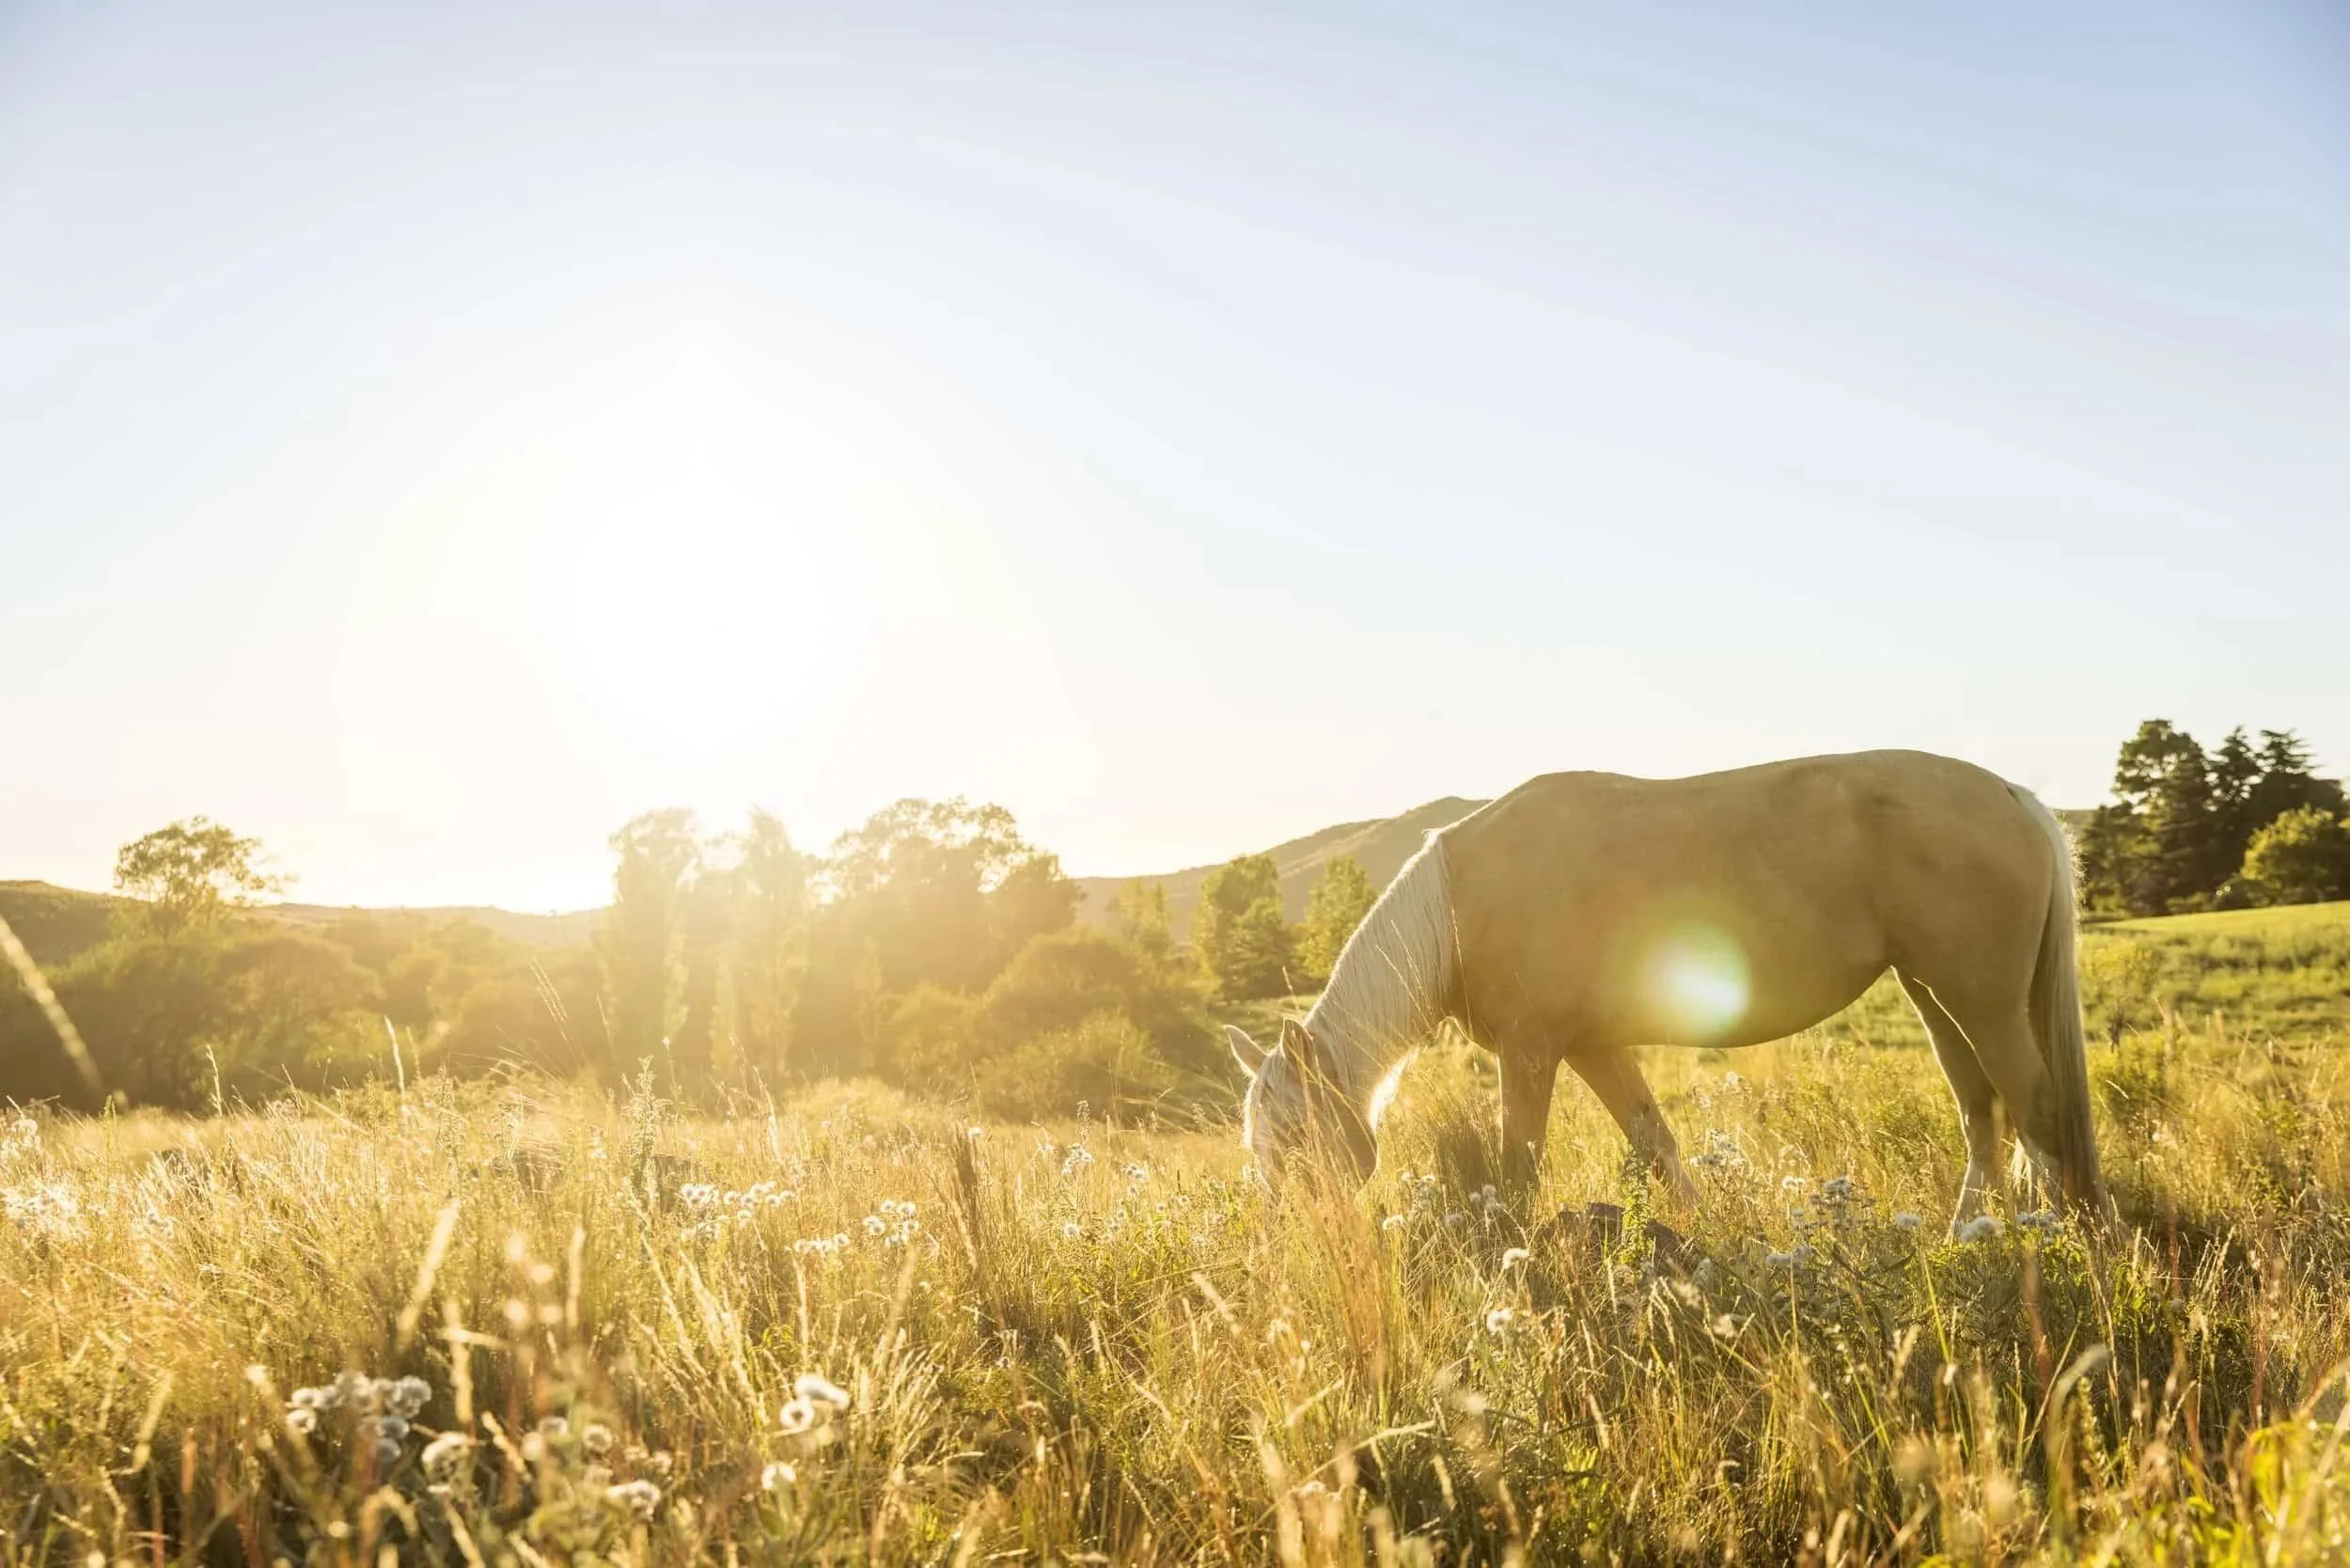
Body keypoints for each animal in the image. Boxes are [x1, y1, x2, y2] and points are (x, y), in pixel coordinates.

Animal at [1224, 750, 2104, 1229]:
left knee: (2036, 1112)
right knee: (1983, 1116)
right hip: (1935, 994)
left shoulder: (1532, 1052)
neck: (1458, 906)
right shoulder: (1594, 1048)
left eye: (1297, 1135)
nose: (1292, 1238)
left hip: (1982, 1004)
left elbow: (1518, 1174)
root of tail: (2015, 797)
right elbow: (1658, 1147)